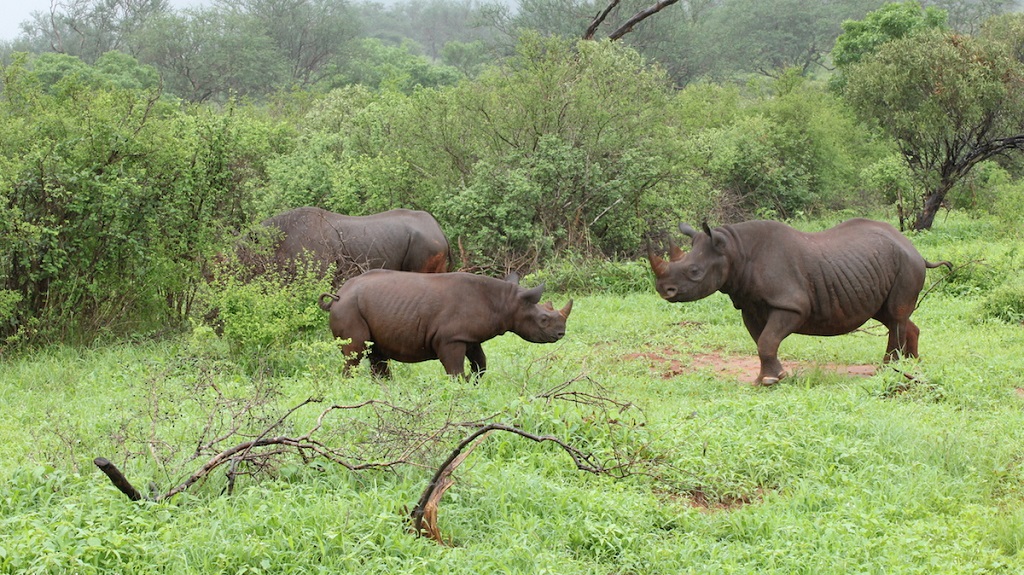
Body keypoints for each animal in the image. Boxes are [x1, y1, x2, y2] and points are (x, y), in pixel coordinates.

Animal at [315, 268, 573, 376]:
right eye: (543, 319)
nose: (561, 334)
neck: (506, 302)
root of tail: (338, 295)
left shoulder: (468, 336)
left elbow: (480, 363)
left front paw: (474, 383)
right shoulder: (450, 339)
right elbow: (455, 370)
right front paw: (462, 387)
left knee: (376, 355)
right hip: (348, 308)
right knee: (354, 354)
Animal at [647, 218, 950, 384]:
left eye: (694, 272)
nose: (664, 290)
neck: (734, 250)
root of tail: (914, 248)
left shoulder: (791, 304)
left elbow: (768, 340)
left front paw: (771, 380)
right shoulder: (749, 304)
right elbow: (761, 341)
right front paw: (768, 377)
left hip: (906, 263)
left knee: (895, 315)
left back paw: (887, 369)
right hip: (877, 266)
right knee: (890, 315)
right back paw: (912, 365)